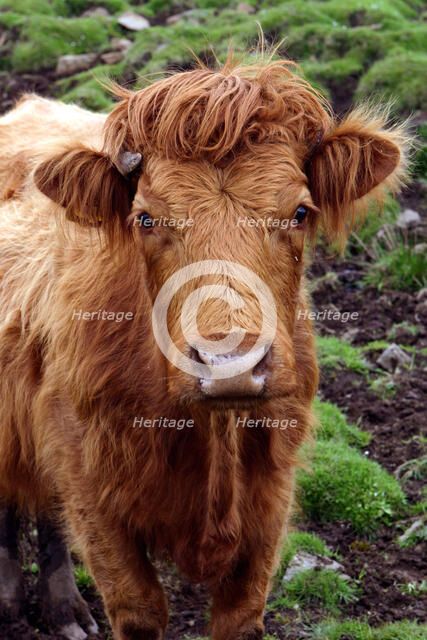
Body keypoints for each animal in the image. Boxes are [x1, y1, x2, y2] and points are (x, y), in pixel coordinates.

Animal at [0, 56, 407, 640]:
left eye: (300, 212)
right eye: (146, 217)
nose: (229, 367)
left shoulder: (270, 503)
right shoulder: (90, 490)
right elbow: (139, 609)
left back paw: (63, 611)